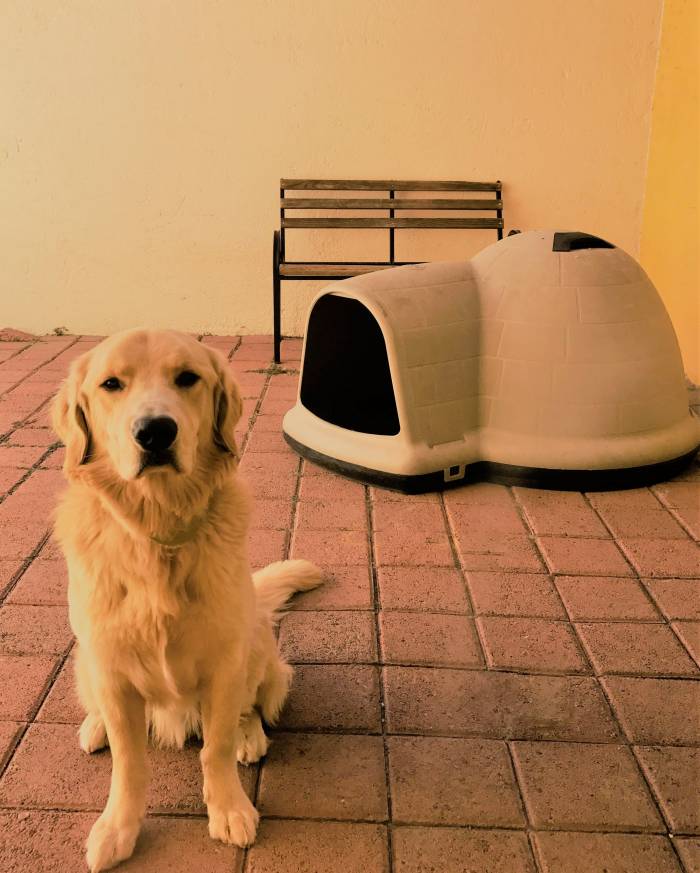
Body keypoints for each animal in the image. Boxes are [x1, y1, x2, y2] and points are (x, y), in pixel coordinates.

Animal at [51, 328, 320, 872]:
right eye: (111, 384)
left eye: (187, 378)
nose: (155, 432)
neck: (159, 532)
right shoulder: (111, 667)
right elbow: (130, 763)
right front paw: (118, 827)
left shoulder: (224, 665)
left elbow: (214, 746)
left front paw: (229, 808)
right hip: (86, 660)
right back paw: (96, 727)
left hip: (258, 648)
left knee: (250, 707)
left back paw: (250, 735)